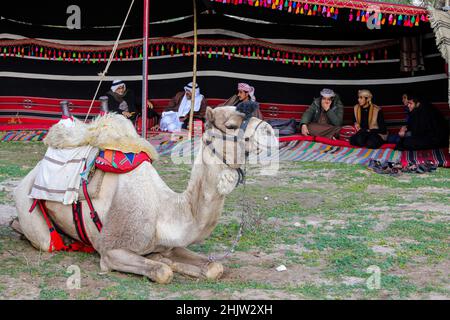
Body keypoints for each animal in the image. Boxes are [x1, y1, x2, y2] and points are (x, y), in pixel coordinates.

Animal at [12, 106, 278, 284]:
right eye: (231, 125)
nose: (270, 130)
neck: (164, 210)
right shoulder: (112, 250)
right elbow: (162, 272)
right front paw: (164, 264)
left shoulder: (171, 244)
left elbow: (214, 268)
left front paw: (171, 261)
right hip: (29, 206)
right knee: (41, 237)